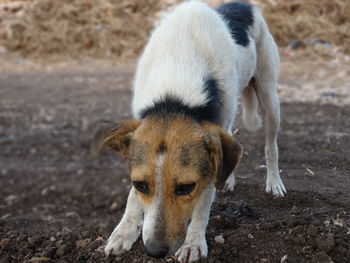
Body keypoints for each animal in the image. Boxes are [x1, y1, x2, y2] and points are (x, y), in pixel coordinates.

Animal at [100, 1, 286, 262]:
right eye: (141, 185)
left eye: (186, 187)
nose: (154, 251)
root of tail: (243, 4)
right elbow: (131, 197)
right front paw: (124, 231)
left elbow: (203, 203)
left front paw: (194, 242)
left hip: (269, 97)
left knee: (271, 146)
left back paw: (274, 182)